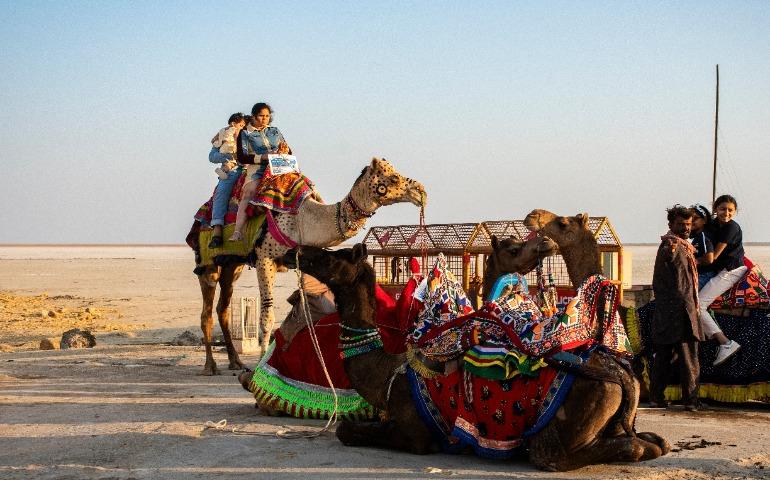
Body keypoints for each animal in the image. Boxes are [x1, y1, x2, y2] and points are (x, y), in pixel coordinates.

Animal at [196, 158, 425, 375]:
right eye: (393, 178)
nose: (421, 191)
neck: (302, 220)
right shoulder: (264, 258)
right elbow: (267, 317)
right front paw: (259, 366)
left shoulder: (304, 256)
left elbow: (311, 306)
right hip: (208, 263)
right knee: (207, 311)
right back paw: (210, 366)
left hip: (233, 265)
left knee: (223, 308)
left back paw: (235, 362)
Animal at [283, 214, 669, 471]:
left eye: (332, 256)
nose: (294, 252)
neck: (385, 371)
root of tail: (625, 380)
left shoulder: (415, 434)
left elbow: (346, 429)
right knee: (653, 442)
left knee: (555, 452)